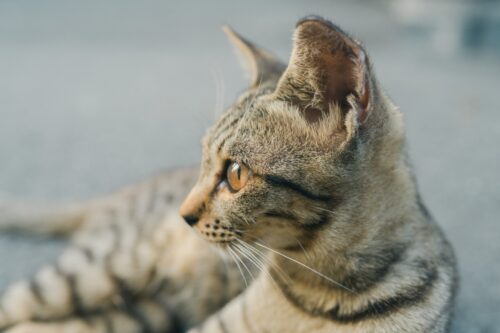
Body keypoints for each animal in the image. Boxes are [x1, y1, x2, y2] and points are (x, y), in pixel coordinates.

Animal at [0, 16, 458, 332]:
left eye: (235, 174)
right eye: (204, 159)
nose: (182, 215)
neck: (322, 291)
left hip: (146, 310)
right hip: (94, 270)